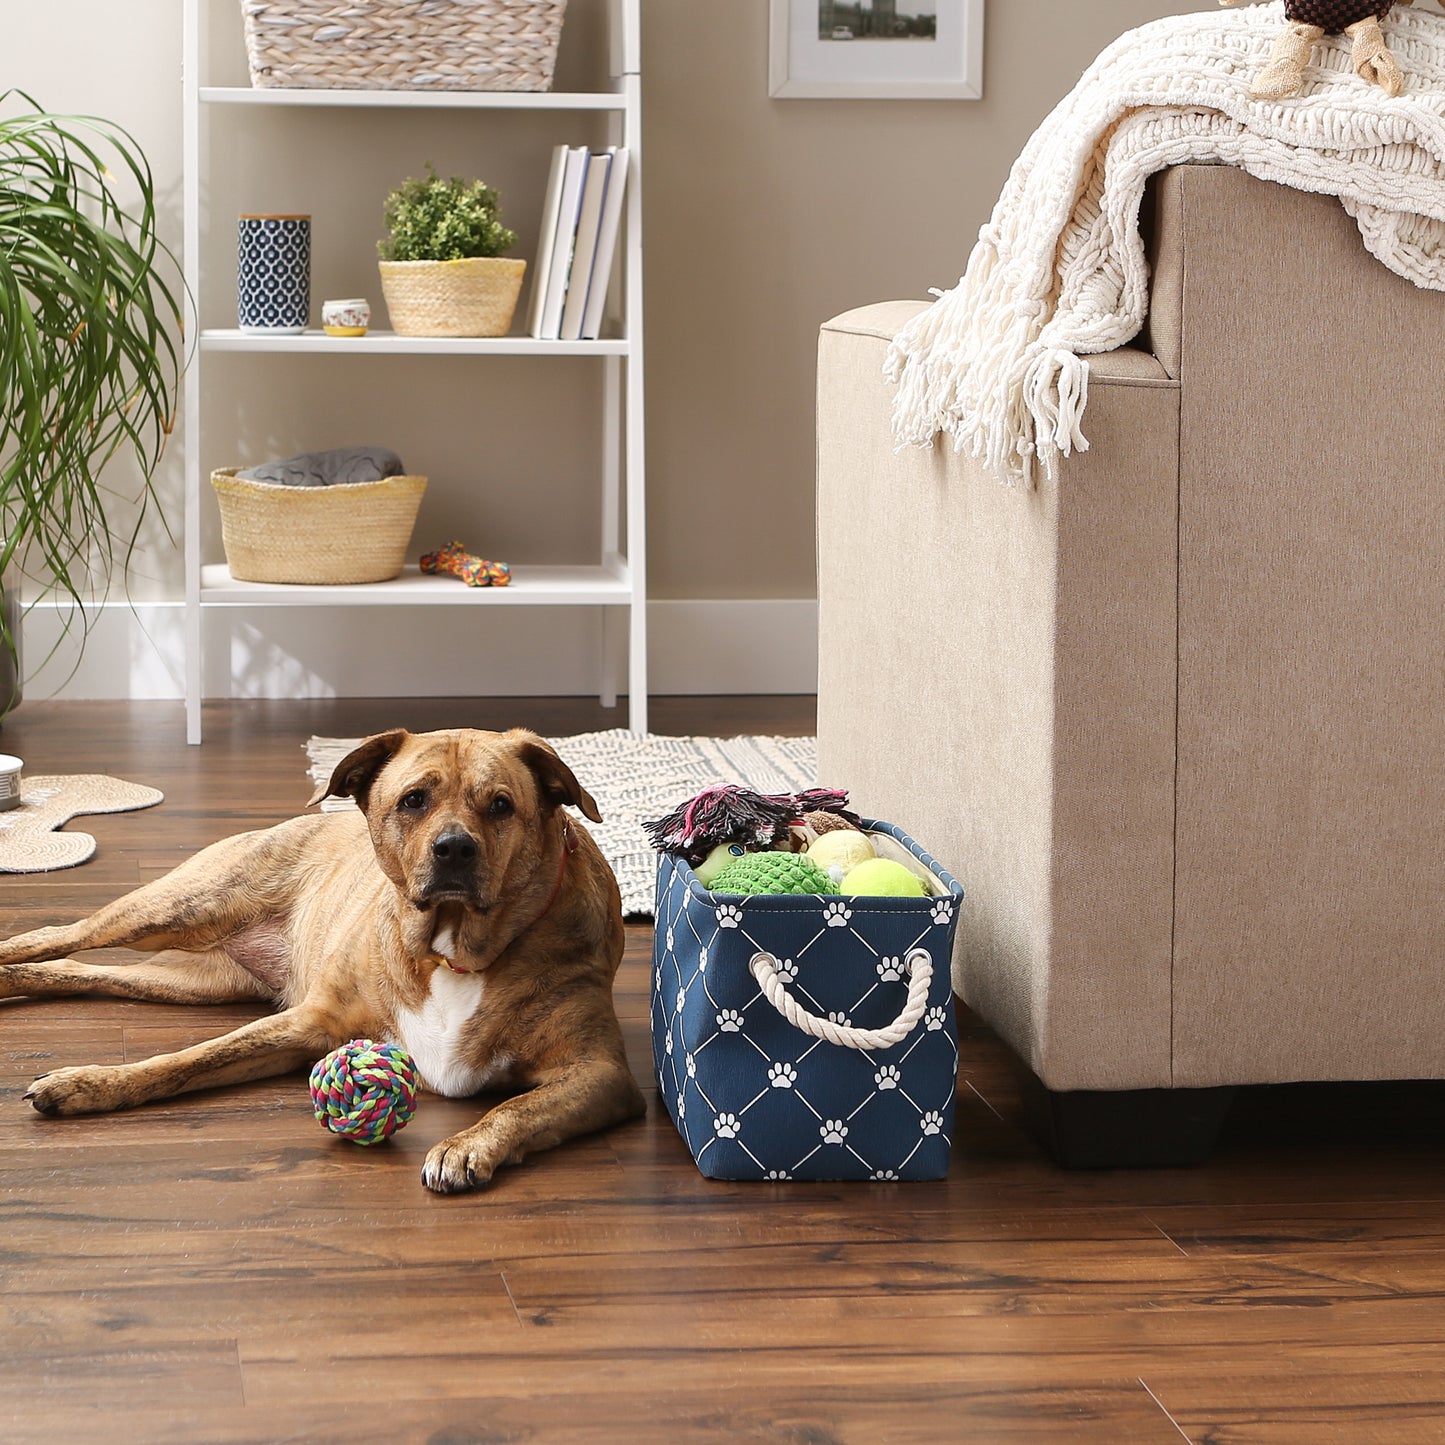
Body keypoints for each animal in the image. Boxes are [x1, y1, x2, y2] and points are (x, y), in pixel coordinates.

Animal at [0, 728, 644, 1190]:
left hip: (197, 980)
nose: (455, 849)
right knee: (60, 934)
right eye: (414, 800)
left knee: (81, 970)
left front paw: (466, 1145)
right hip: (177, 909)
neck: (451, 952)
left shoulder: (599, 1073)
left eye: (502, 806)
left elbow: (520, 1107)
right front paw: (89, 1082)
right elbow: (186, 1059)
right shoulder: (308, 1023)